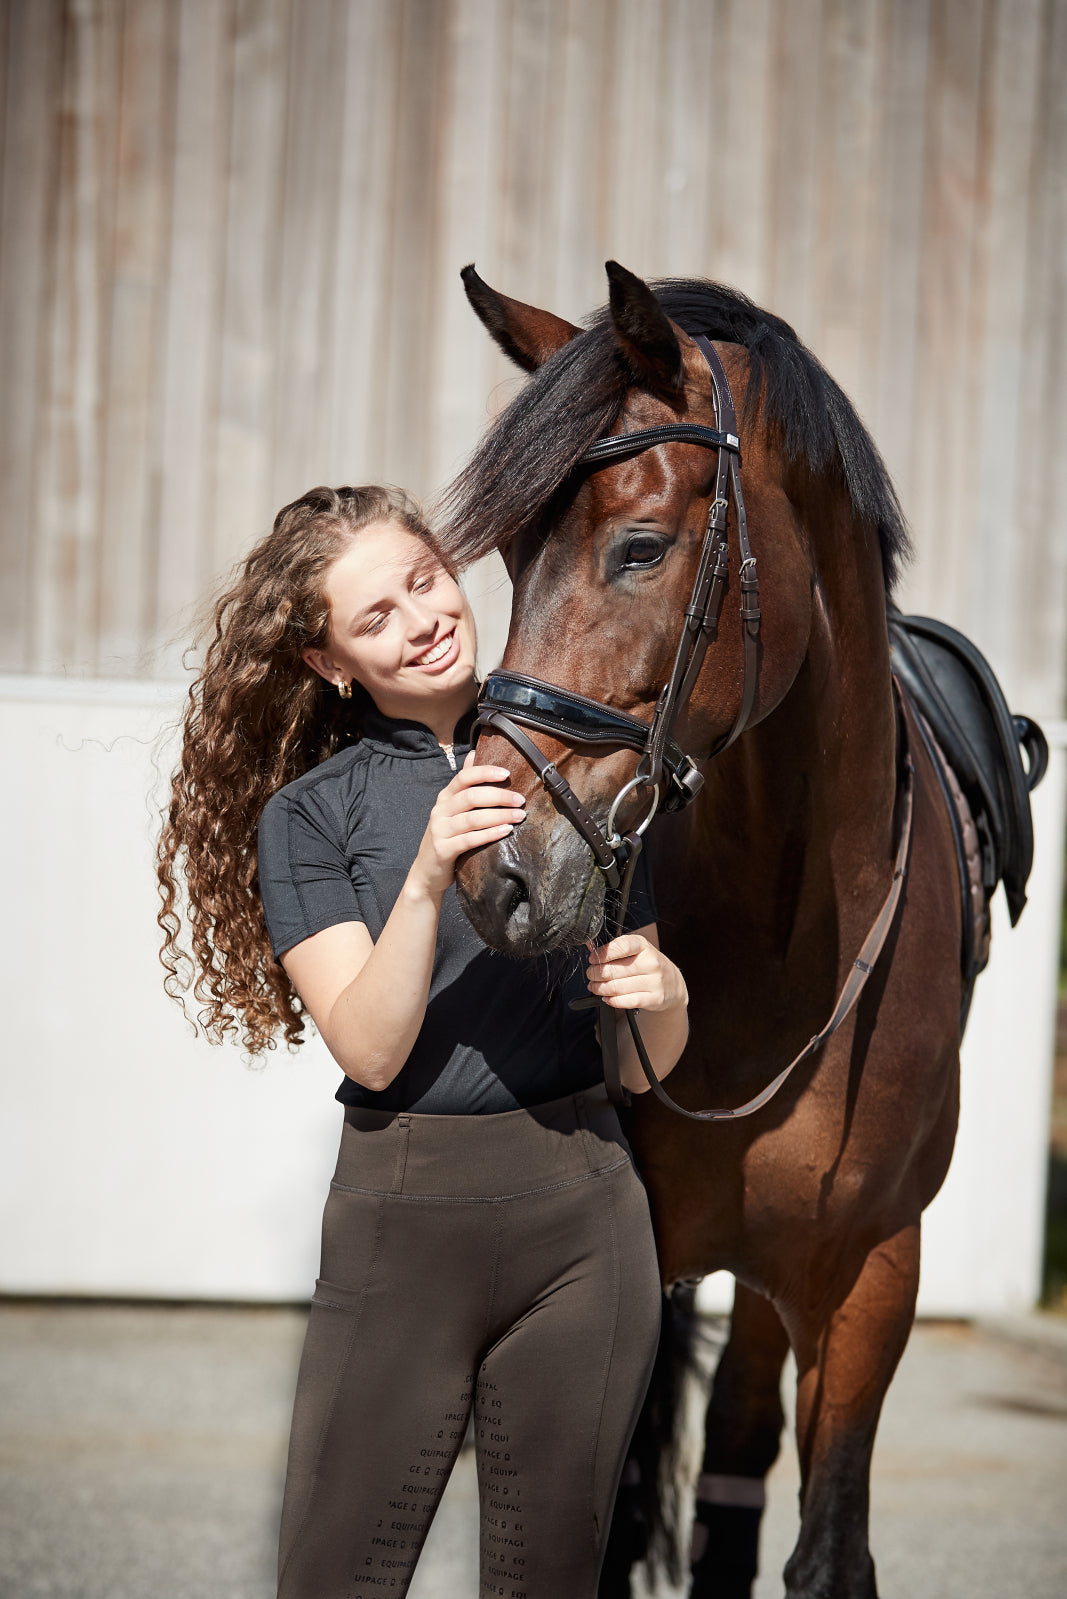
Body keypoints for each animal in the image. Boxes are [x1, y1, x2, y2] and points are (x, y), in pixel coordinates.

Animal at [441, 265, 966, 1599]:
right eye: (511, 557)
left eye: (637, 548)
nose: (490, 877)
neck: (792, 941)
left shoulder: (871, 1275)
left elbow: (827, 1549)